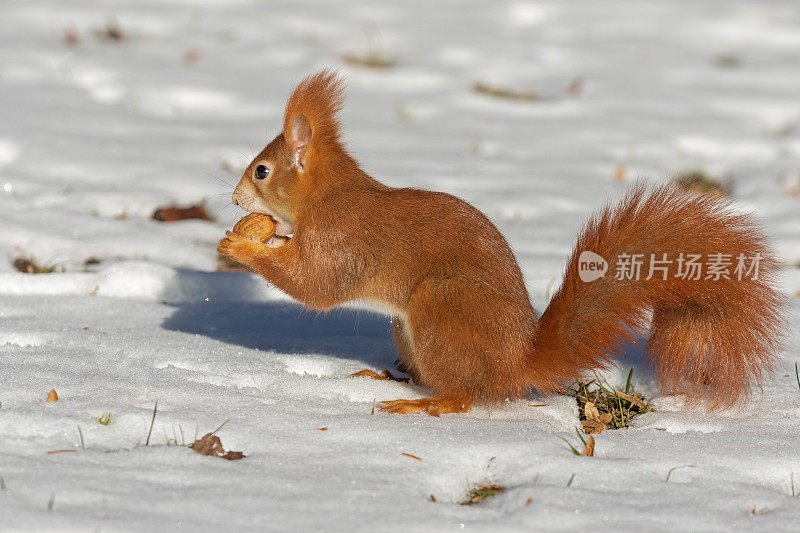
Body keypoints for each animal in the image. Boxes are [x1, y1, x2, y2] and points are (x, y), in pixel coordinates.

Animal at [216, 68, 784, 414]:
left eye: (261, 171)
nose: (236, 198)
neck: (326, 194)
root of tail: (515, 365)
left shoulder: (342, 239)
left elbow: (316, 286)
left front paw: (240, 247)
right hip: (412, 329)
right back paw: (393, 380)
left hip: (440, 310)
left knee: (464, 397)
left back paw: (421, 403)